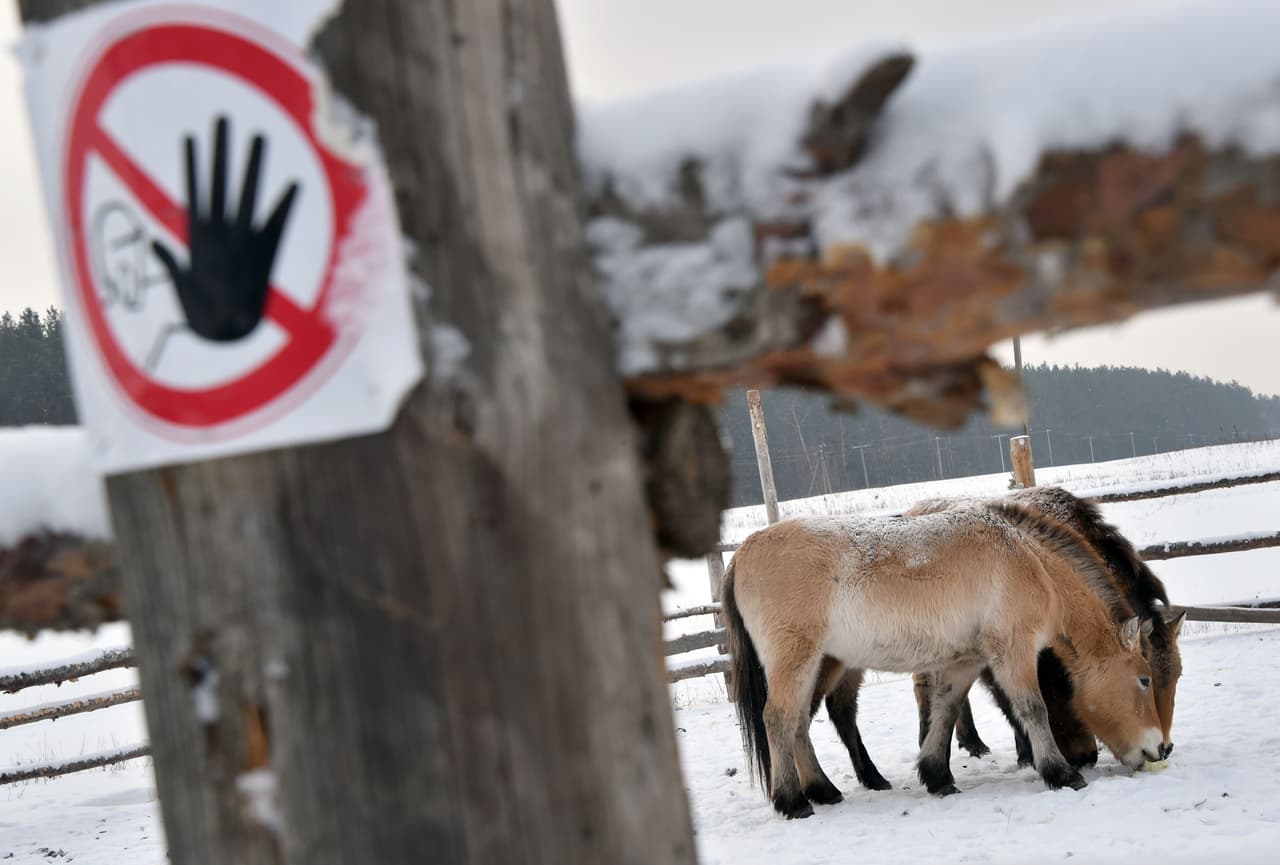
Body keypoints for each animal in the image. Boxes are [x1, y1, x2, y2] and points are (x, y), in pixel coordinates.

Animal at [721, 501, 1164, 818]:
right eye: (1144, 680)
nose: (1160, 749)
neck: (1031, 560)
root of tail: (743, 552)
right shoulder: (1013, 652)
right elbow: (1032, 709)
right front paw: (1061, 773)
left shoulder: (966, 660)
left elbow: (946, 710)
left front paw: (937, 776)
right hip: (796, 661)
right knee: (780, 719)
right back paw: (793, 801)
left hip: (815, 664)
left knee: (798, 722)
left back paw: (824, 790)